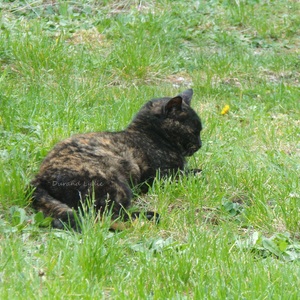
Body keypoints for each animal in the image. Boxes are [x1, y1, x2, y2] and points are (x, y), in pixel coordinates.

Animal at [29, 88, 202, 230]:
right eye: (195, 131)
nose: (200, 144)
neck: (150, 134)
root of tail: (39, 177)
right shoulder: (164, 177)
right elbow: (198, 172)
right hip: (116, 186)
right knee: (106, 216)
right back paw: (149, 216)